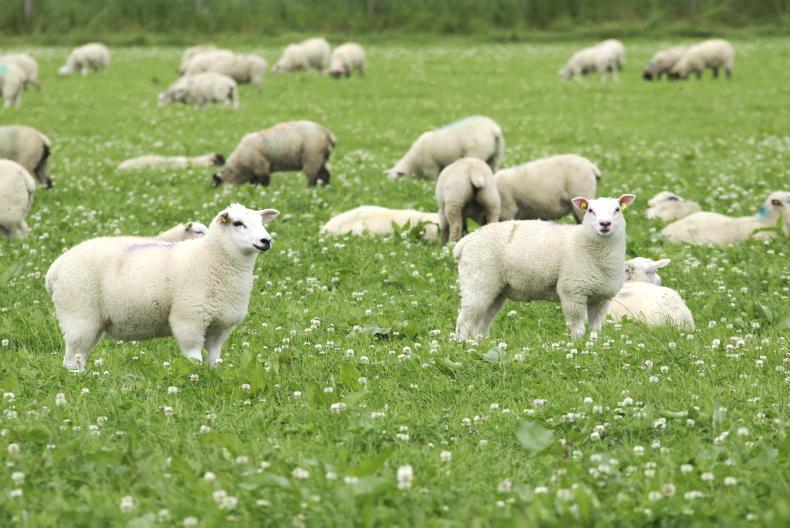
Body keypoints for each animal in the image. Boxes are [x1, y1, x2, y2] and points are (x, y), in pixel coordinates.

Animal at [45, 204, 279, 372]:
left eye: (261, 222)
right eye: (238, 223)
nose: (266, 240)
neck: (210, 258)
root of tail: (56, 267)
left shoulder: (220, 326)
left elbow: (214, 359)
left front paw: (215, 375)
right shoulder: (189, 320)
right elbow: (194, 358)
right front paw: (195, 380)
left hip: (92, 322)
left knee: (79, 356)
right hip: (79, 315)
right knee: (71, 359)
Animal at [454, 194, 636, 340]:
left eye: (617, 209)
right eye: (590, 210)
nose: (605, 224)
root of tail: (467, 240)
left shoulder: (601, 299)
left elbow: (596, 329)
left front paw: (595, 345)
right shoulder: (572, 292)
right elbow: (577, 327)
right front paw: (577, 345)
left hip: (496, 290)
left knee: (482, 321)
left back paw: (479, 344)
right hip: (477, 281)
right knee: (465, 319)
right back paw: (463, 344)